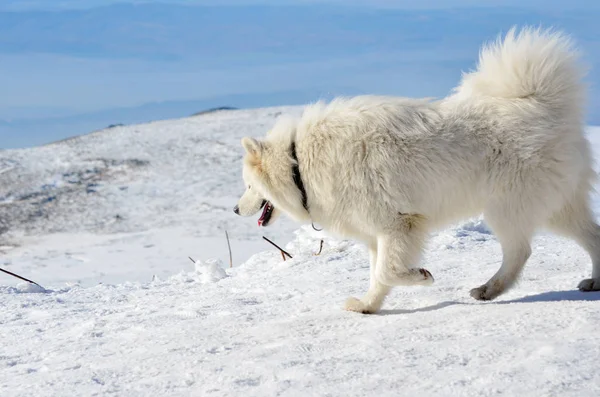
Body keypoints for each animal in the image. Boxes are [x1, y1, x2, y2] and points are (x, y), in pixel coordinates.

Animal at [233, 27, 600, 312]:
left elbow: (387, 272)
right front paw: (368, 306)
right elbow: (378, 276)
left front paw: (422, 277)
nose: (235, 209)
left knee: (520, 252)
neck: (300, 162)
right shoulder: (378, 235)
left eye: (249, 186)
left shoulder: (399, 224)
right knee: (592, 236)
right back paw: (593, 281)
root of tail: (543, 105)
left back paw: (489, 288)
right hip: (557, 207)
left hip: (508, 208)